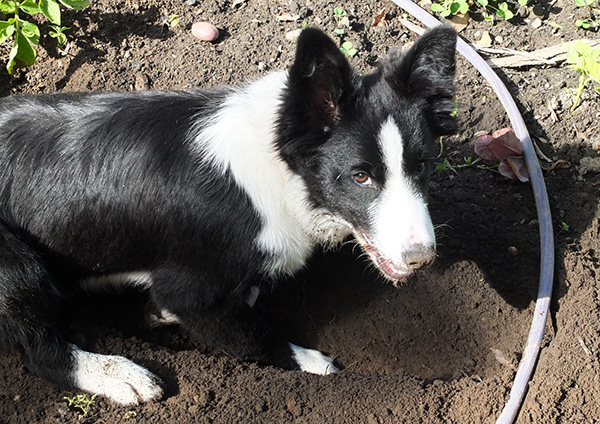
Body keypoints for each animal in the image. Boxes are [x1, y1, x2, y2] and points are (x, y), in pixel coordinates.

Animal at [0, 25, 458, 404]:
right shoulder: (190, 288)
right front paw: (311, 363)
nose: (423, 259)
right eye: (361, 176)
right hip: (16, 266)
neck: (279, 170)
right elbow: (251, 337)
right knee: (40, 351)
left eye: (421, 166)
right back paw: (120, 375)